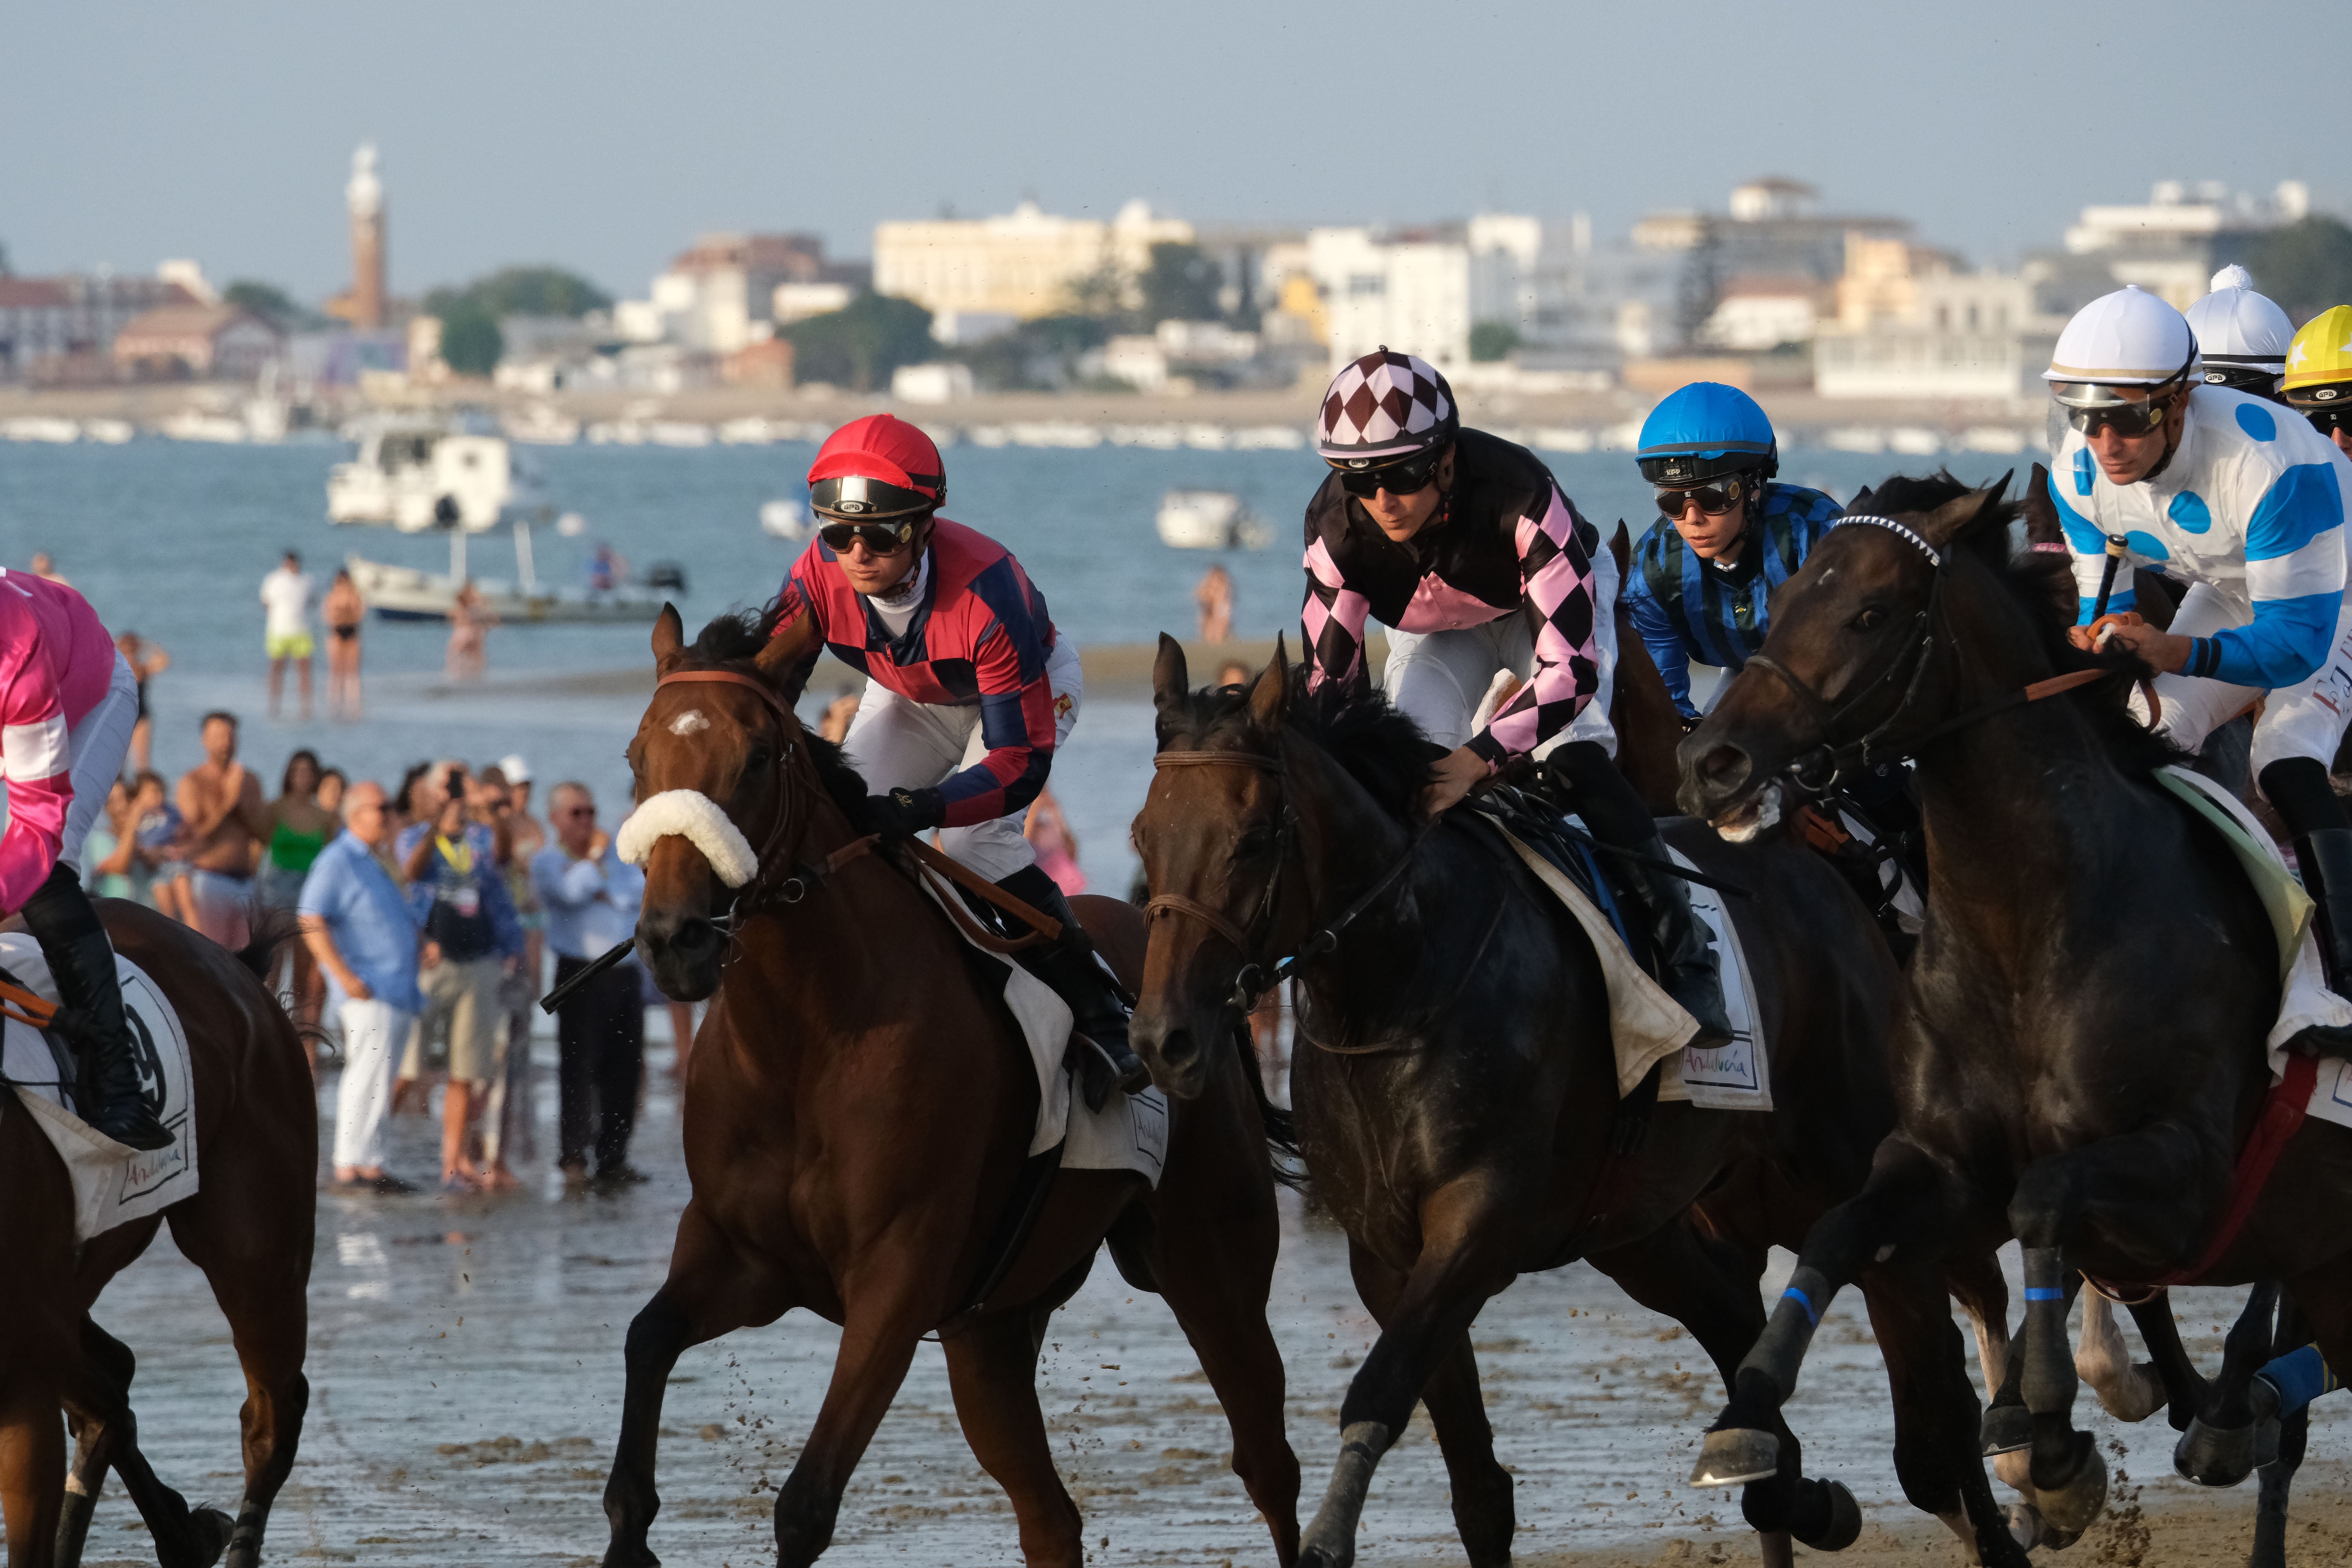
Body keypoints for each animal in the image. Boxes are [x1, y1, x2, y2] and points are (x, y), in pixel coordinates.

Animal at [597, 611, 1308, 1568]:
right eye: (637, 757)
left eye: (755, 757)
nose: (675, 938)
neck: (806, 1043)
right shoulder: (742, 1256)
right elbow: (645, 1343)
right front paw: (629, 1529)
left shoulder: (895, 1284)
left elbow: (805, 1504)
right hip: (992, 1329)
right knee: (1051, 1519)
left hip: (1212, 1261)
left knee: (1268, 1463)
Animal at [1129, 634, 2013, 1568]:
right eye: (1145, 834)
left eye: (1255, 839)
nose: (1163, 1036)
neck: (1404, 986)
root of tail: (1811, 869)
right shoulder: (1389, 1256)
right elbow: (1477, 1488)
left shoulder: (1478, 1224)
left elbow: (1380, 1388)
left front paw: (1328, 1537)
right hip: (1643, 1227)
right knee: (1744, 1326)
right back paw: (1787, 1481)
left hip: (1847, 1160)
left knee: (1938, 1390)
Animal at [1674, 475, 2352, 1561]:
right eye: (1779, 603)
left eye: (1871, 613)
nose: (1713, 763)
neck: (2032, 934)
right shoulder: (1942, 1168)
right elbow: (1840, 1228)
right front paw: (1746, 1416)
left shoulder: (2191, 1178)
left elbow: (2048, 1199)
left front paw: (2052, 1439)